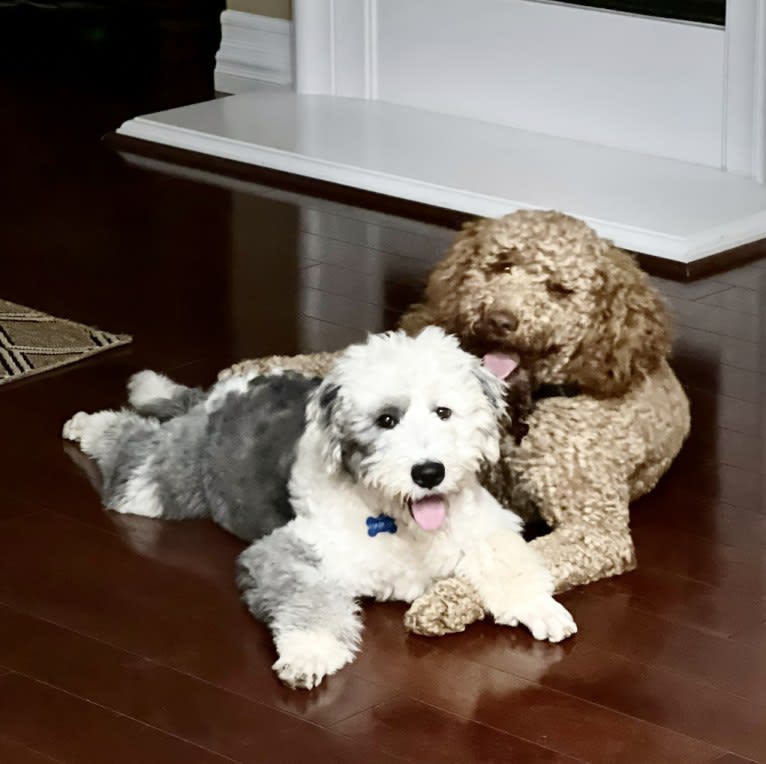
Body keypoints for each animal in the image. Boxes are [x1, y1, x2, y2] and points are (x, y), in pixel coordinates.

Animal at [63, 326, 576, 688]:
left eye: (443, 412)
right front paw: (307, 654)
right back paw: (85, 424)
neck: (396, 521)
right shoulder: (288, 552)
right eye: (385, 420)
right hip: (166, 480)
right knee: (130, 447)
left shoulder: (486, 524)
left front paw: (541, 608)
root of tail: (226, 390)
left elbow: (509, 560)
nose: (429, 472)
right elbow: (308, 599)